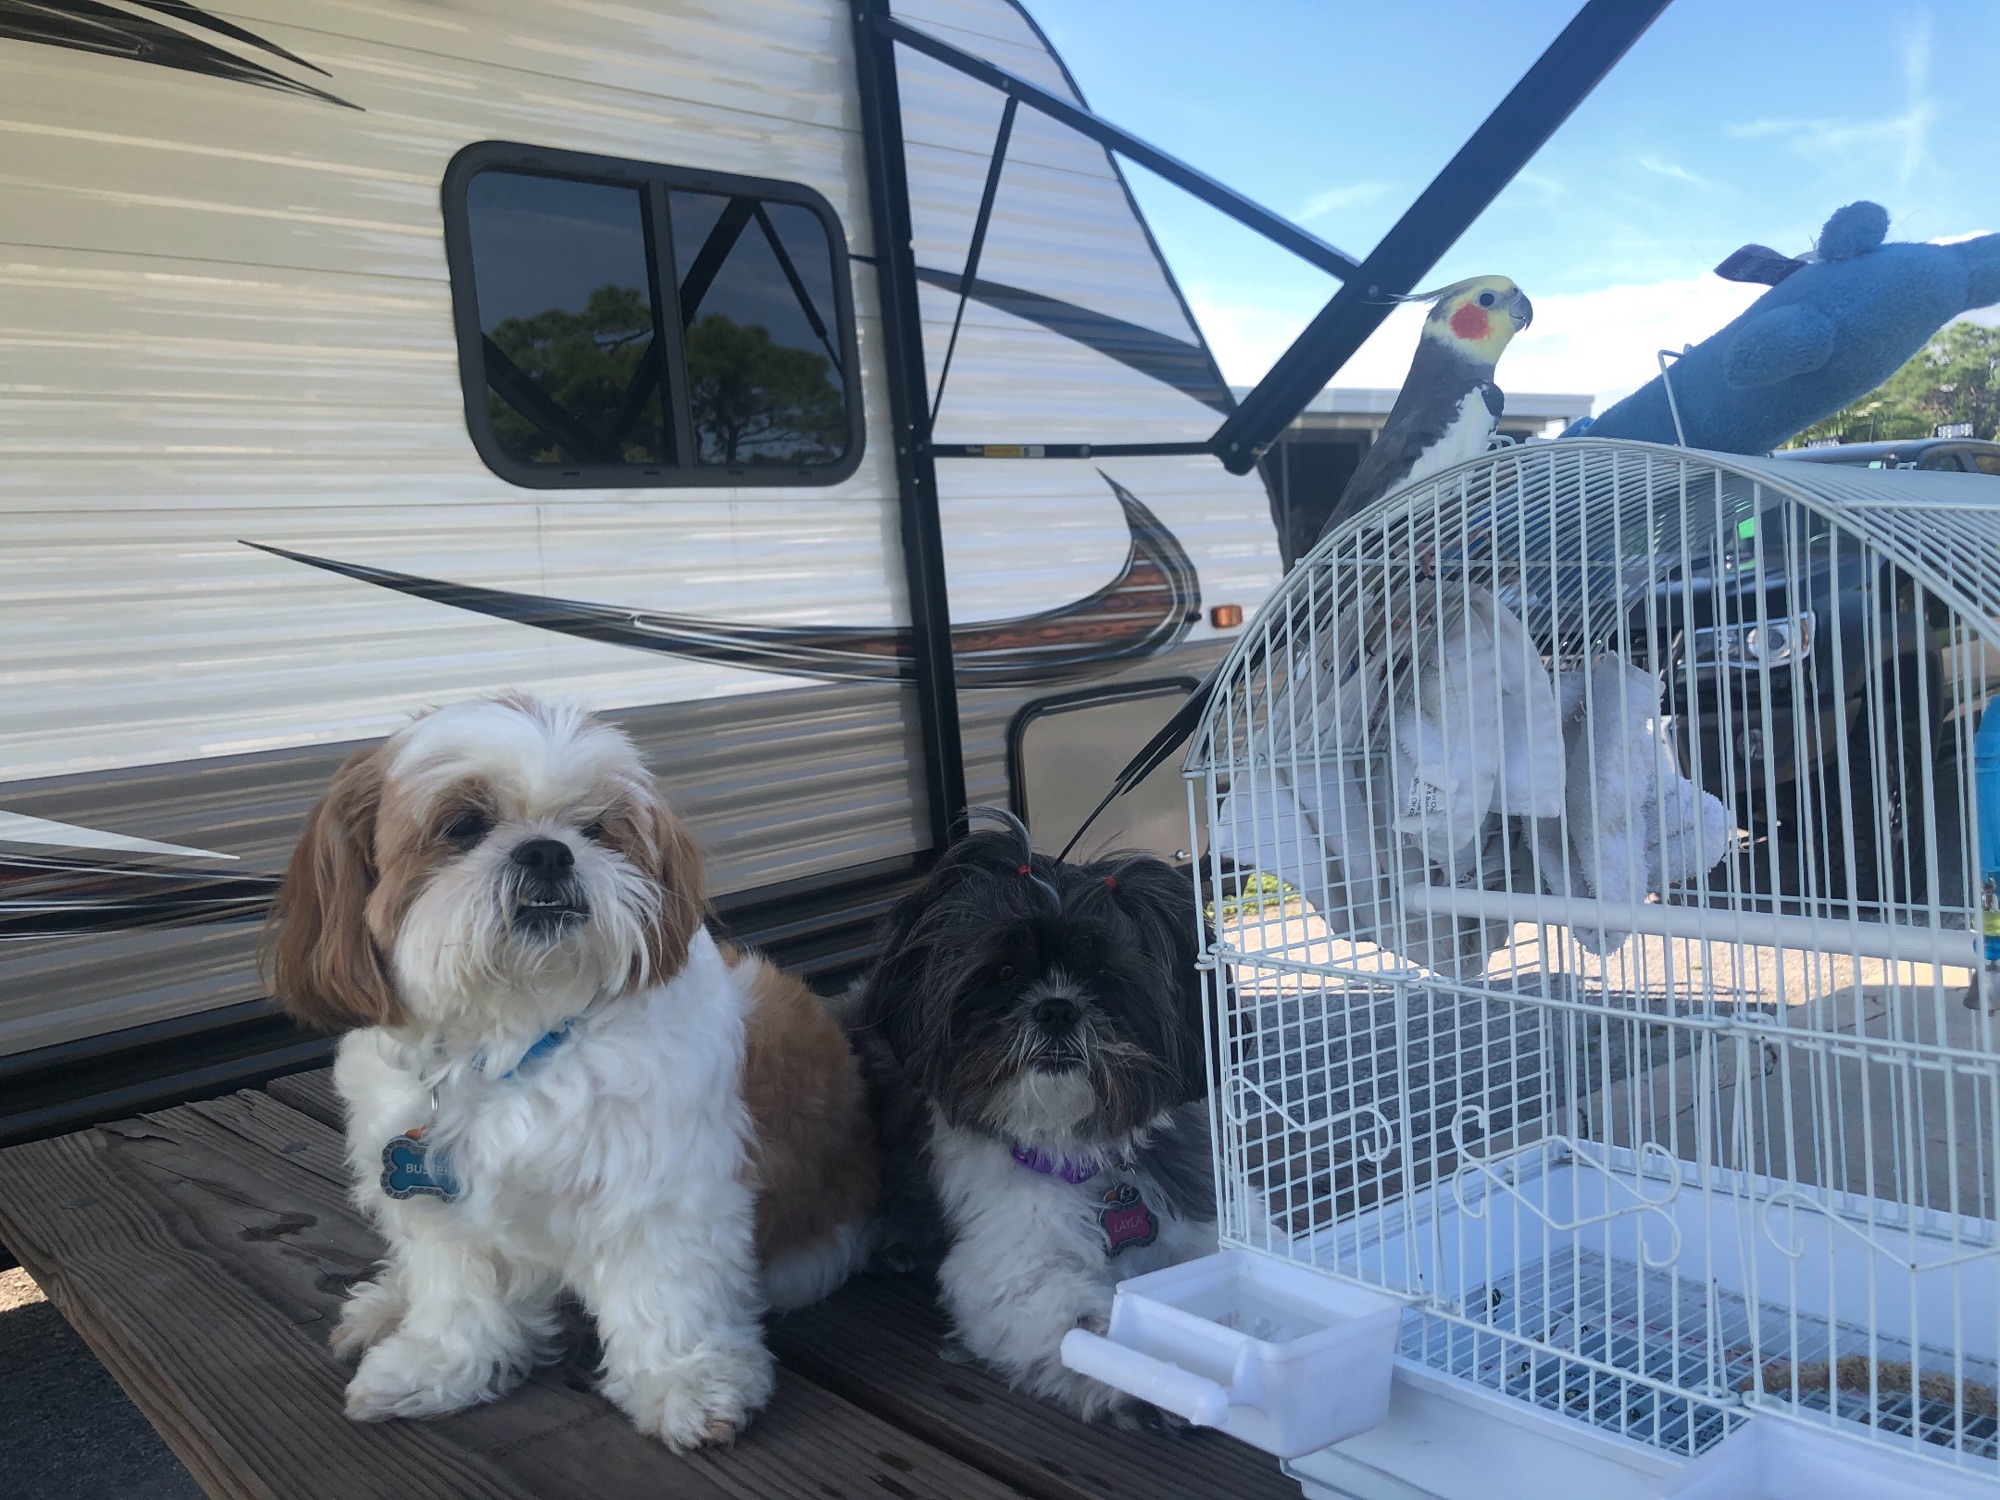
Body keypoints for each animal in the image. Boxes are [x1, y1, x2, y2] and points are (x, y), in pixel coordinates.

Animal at [263, 693, 877, 1449]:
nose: (548, 850)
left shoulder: (659, 1193)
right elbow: (457, 1294)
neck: (514, 1042)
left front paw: (685, 1382)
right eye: (464, 825)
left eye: (596, 829)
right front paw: (435, 1365)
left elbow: (663, 1293)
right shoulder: (444, 1206)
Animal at [847, 811, 1215, 1422]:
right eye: (1004, 972)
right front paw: (1157, 1379)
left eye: (1104, 977)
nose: (1057, 1008)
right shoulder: (1012, 1270)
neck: (1077, 1149)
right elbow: (1090, 1332)